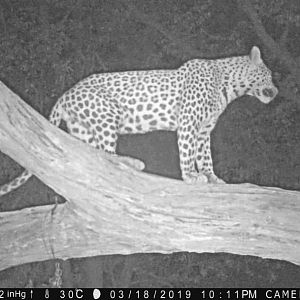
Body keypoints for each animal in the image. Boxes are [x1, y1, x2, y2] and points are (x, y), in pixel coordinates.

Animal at [0, 45, 278, 196]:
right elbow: (188, 153)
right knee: (106, 154)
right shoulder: (189, 123)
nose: (276, 91)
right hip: (107, 114)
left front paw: (212, 177)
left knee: (93, 157)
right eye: (270, 75)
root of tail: (67, 93)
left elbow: (205, 155)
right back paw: (132, 162)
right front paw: (191, 176)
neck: (229, 87)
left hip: (84, 128)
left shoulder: (204, 129)